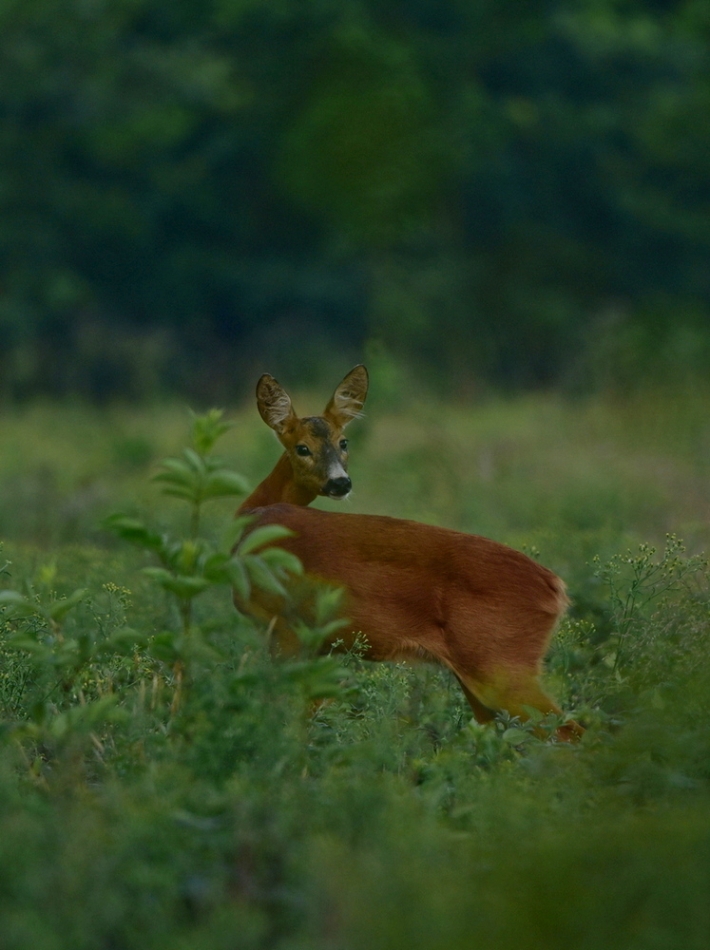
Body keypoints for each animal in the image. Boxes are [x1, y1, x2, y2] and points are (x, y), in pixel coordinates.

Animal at [239, 366, 584, 744]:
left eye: (344, 442)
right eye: (302, 447)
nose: (340, 483)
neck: (254, 517)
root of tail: (556, 588)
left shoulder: (284, 627)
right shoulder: (315, 644)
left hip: (501, 664)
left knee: (571, 732)